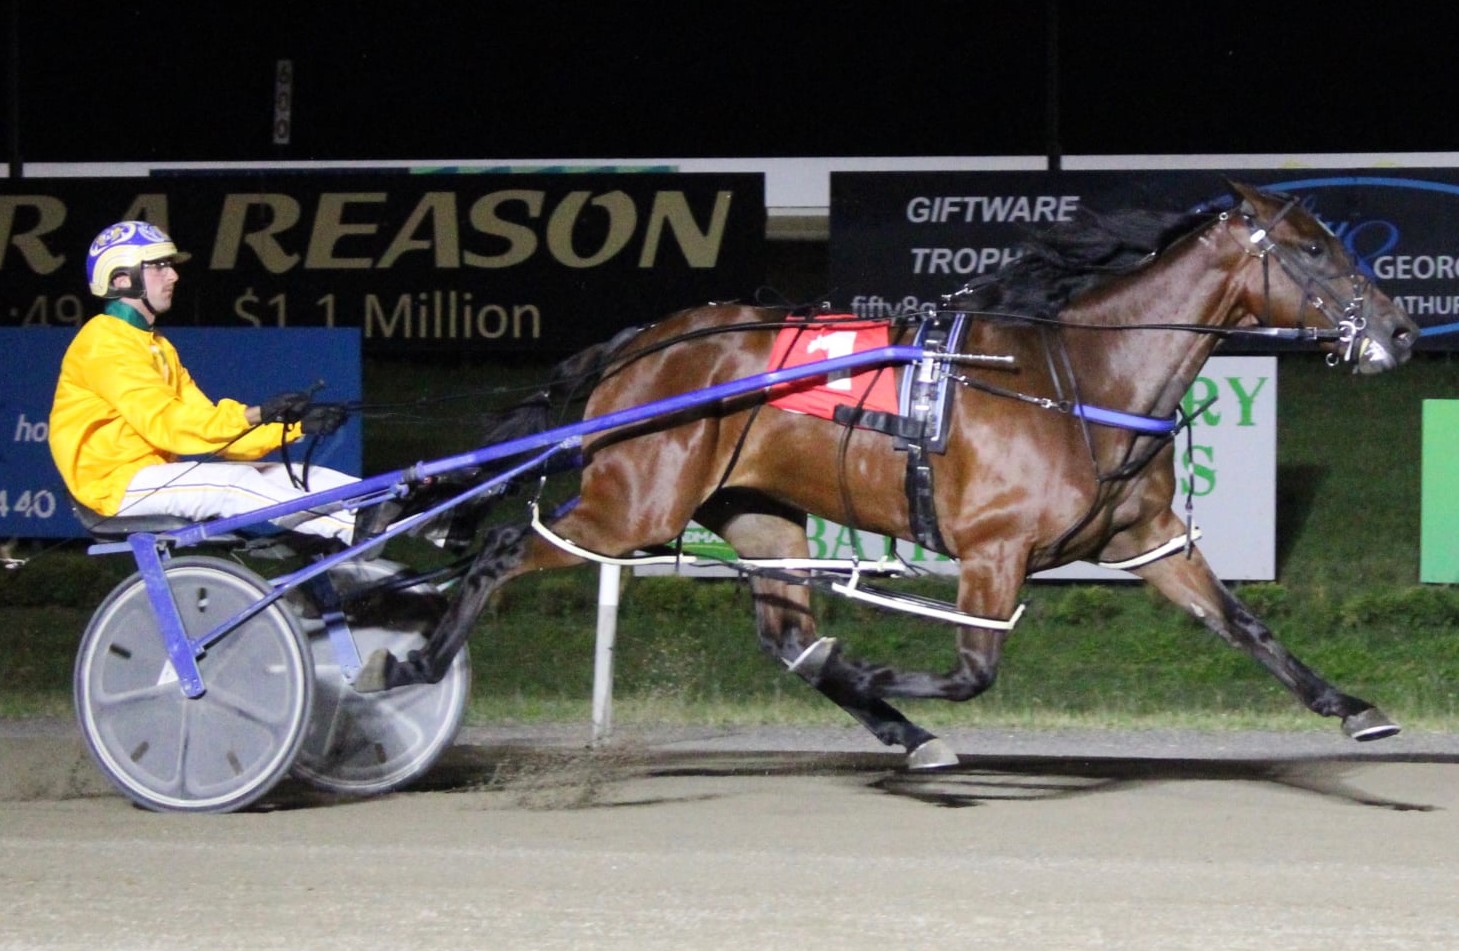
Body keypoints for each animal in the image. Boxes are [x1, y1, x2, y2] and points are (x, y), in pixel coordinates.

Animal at [357, 182, 1420, 769]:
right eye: (1313, 248)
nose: (1403, 331)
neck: (1080, 378)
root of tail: (644, 342)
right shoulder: (992, 550)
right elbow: (973, 670)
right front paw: (875, 670)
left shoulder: (1145, 540)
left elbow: (1241, 623)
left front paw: (1354, 710)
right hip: (633, 501)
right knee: (503, 546)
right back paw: (409, 662)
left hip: (759, 515)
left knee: (786, 637)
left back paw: (893, 725)